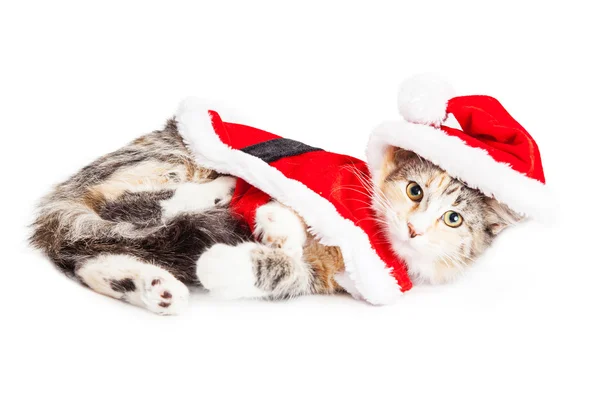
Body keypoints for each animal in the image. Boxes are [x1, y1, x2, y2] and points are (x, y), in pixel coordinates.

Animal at [31, 117, 520, 314]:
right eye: (415, 191)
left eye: (453, 219)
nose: (415, 229)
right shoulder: (316, 189)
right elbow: (288, 209)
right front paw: (273, 223)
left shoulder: (328, 277)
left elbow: (282, 270)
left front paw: (225, 262)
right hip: (163, 162)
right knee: (124, 202)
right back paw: (219, 190)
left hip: (109, 234)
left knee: (89, 255)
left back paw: (153, 289)